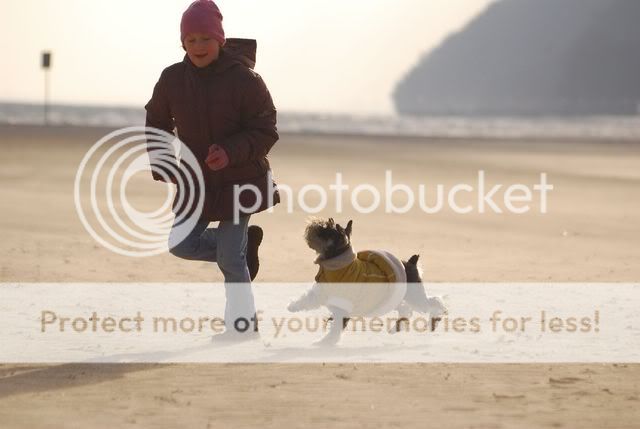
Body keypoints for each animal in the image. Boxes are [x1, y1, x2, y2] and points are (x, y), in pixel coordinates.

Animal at [287, 218, 447, 346]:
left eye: (326, 229)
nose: (313, 224)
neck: (338, 265)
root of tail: (412, 263)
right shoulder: (322, 291)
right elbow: (308, 299)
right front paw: (293, 306)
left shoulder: (342, 305)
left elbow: (336, 328)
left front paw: (325, 342)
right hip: (393, 298)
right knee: (406, 310)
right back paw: (396, 328)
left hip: (413, 296)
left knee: (431, 303)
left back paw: (435, 318)